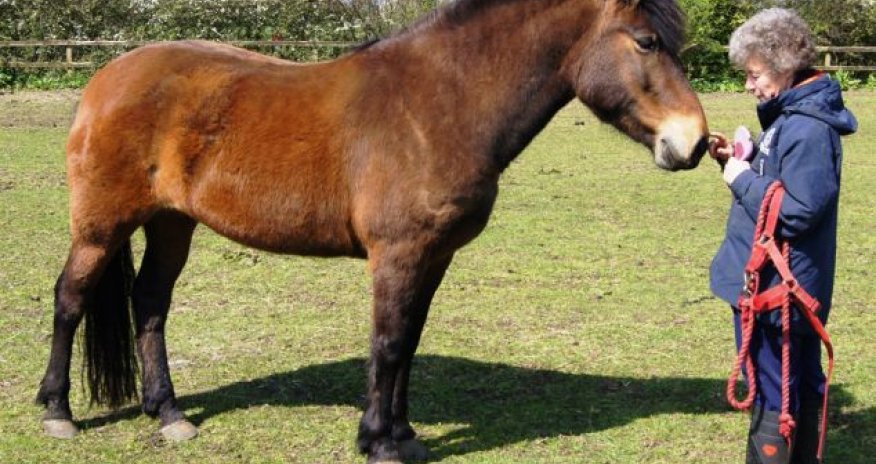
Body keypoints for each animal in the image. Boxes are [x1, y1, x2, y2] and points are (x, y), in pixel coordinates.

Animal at [36, 0, 709, 462]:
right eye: (647, 41)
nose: (695, 141)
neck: (440, 103)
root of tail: (106, 78)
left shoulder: (433, 256)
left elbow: (408, 342)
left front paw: (404, 434)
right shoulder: (398, 254)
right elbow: (386, 343)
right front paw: (378, 441)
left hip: (172, 223)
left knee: (149, 304)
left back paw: (169, 413)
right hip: (102, 226)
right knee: (71, 299)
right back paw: (58, 411)